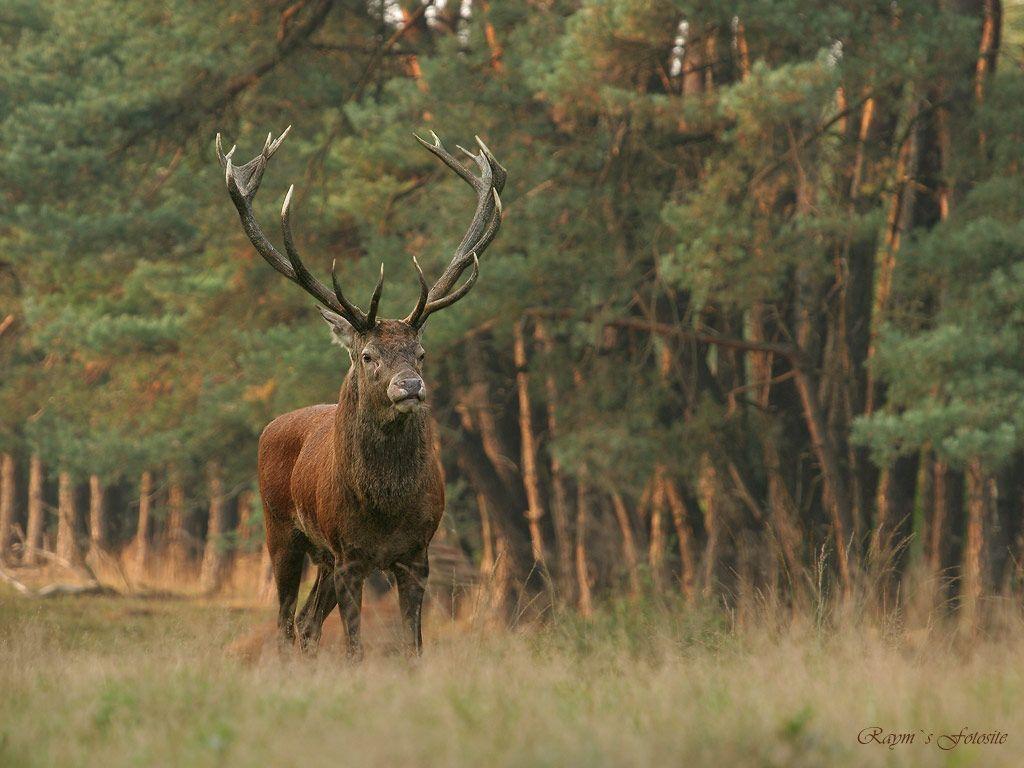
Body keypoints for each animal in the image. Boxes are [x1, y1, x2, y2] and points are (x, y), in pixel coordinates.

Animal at [216, 127, 505, 658]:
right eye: (368, 355)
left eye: (420, 352)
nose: (410, 386)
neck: (386, 510)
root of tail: (273, 425)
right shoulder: (350, 555)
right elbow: (354, 647)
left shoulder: (416, 556)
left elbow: (413, 647)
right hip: (281, 530)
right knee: (286, 621)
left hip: (325, 560)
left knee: (307, 623)